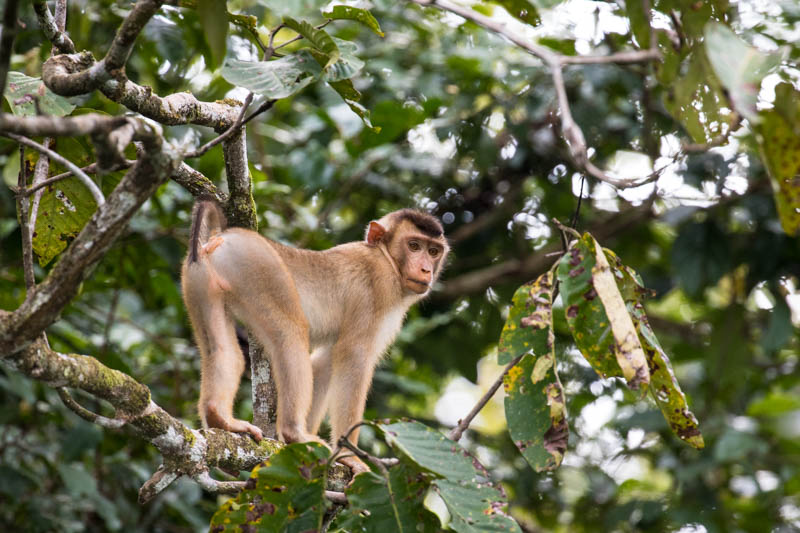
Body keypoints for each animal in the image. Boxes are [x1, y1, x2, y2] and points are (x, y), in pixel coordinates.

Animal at [179, 200, 450, 474]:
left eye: (433, 251)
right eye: (413, 246)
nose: (426, 269)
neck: (386, 258)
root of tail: (222, 238)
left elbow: (325, 362)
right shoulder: (378, 288)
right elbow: (353, 357)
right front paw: (349, 456)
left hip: (198, 282)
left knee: (222, 350)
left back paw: (220, 418)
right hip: (259, 266)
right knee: (291, 333)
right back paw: (294, 433)